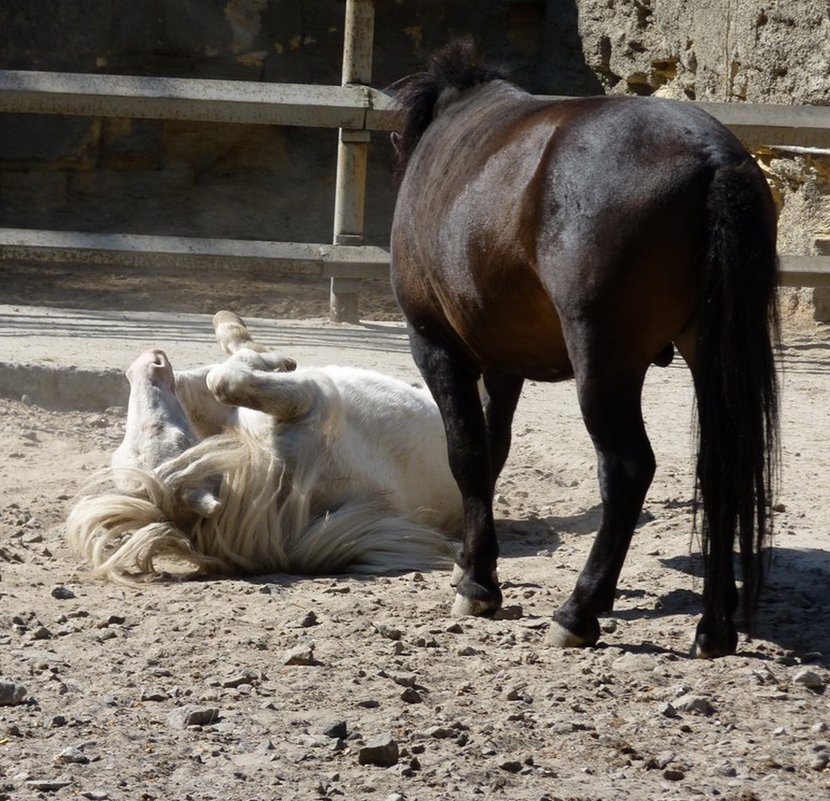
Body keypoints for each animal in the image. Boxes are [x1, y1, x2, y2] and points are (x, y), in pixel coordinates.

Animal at [67, 310, 464, 580]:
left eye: (166, 431)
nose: (150, 362)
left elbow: (211, 377)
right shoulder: (309, 399)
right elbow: (223, 377)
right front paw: (266, 354)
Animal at [390, 40, 780, 660]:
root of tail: (713, 158)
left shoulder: (435, 346)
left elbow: (467, 454)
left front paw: (478, 585)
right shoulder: (503, 363)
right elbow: (494, 450)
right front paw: (471, 563)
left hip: (604, 366)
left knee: (626, 468)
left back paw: (579, 611)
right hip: (708, 356)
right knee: (720, 469)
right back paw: (714, 627)